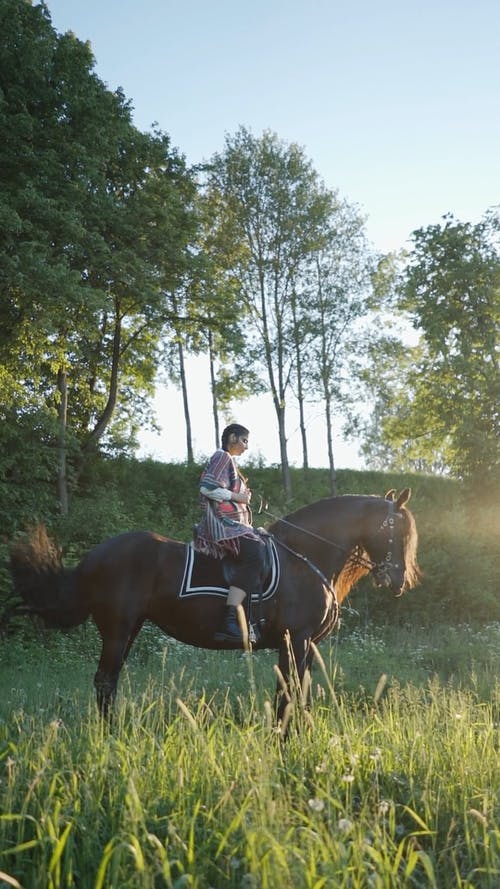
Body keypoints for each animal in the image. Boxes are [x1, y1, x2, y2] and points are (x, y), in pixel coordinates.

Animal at [9, 490, 420, 724]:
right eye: (397, 531)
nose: (398, 582)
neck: (303, 558)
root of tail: (96, 555)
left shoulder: (302, 645)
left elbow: (295, 693)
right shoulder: (297, 639)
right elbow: (288, 694)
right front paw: (286, 740)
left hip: (128, 629)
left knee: (108, 683)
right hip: (117, 629)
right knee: (105, 682)